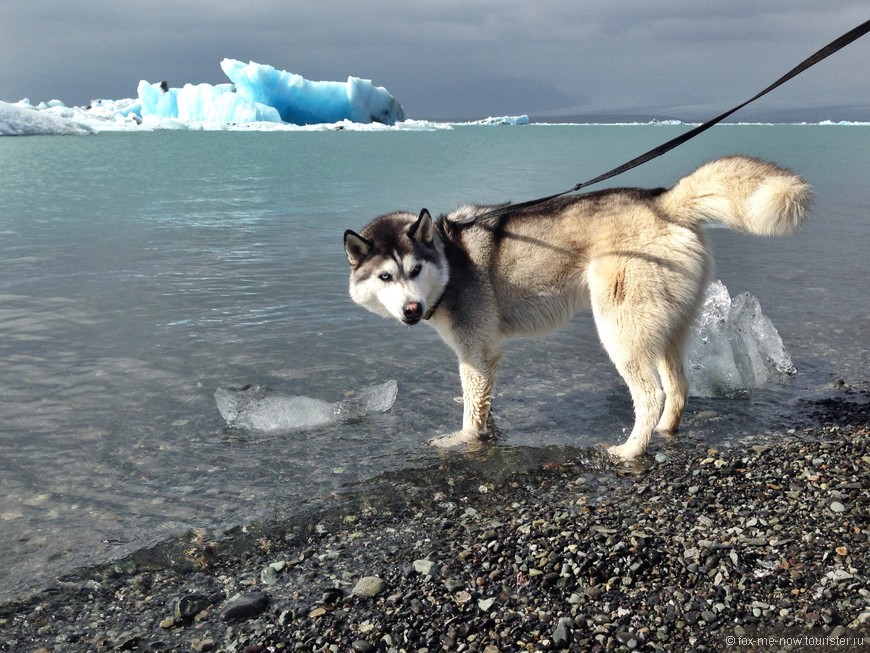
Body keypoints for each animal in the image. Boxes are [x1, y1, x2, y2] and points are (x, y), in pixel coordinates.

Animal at [342, 156, 812, 458]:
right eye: (386, 277)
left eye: (415, 269)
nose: (411, 309)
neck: (449, 257)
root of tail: (661, 201)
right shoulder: (486, 355)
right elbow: (484, 399)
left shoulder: (475, 348)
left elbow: (470, 408)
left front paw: (463, 440)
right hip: (670, 328)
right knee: (678, 388)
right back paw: (665, 431)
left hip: (620, 329)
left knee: (651, 394)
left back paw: (630, 449)